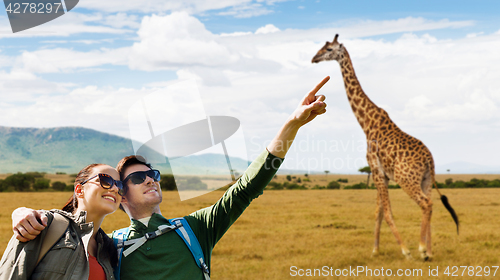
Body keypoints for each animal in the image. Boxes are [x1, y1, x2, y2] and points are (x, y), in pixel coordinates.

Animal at [312, 34, 460, 260]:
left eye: (329, 49)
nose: (314, 58)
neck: (366, 122)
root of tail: (429, 160)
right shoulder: (382, 174)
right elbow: (379, 211)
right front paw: (375, 250)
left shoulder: (376, 169)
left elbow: (387, 212)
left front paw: (405, 250)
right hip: (426, 179)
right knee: (430, 204)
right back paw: (429, 251)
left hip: (406, 179)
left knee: (425, 204)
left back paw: (421, 249)